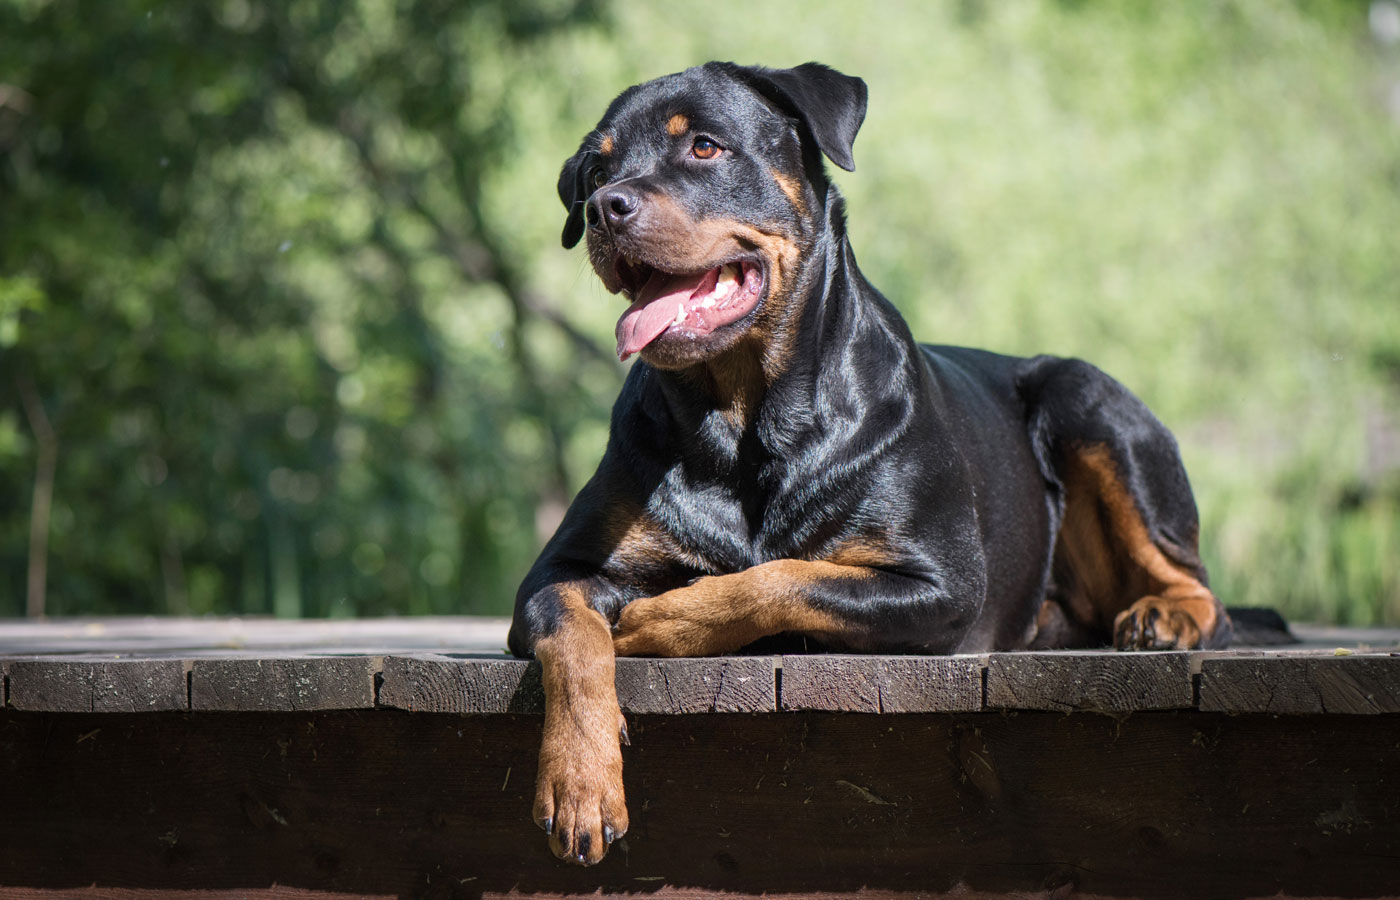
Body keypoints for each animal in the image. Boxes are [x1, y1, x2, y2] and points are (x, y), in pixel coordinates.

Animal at [509, 63, 1232, 867]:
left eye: (704, 146)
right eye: (597, 169)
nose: (606, 207)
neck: (744, 419)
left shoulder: (941, 584)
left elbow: (781, 578)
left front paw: (658, 618)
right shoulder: (556, 572)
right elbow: (574, 641)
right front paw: (580, 784)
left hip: (1086, 398)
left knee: (1196, 579)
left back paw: (1168, 616)